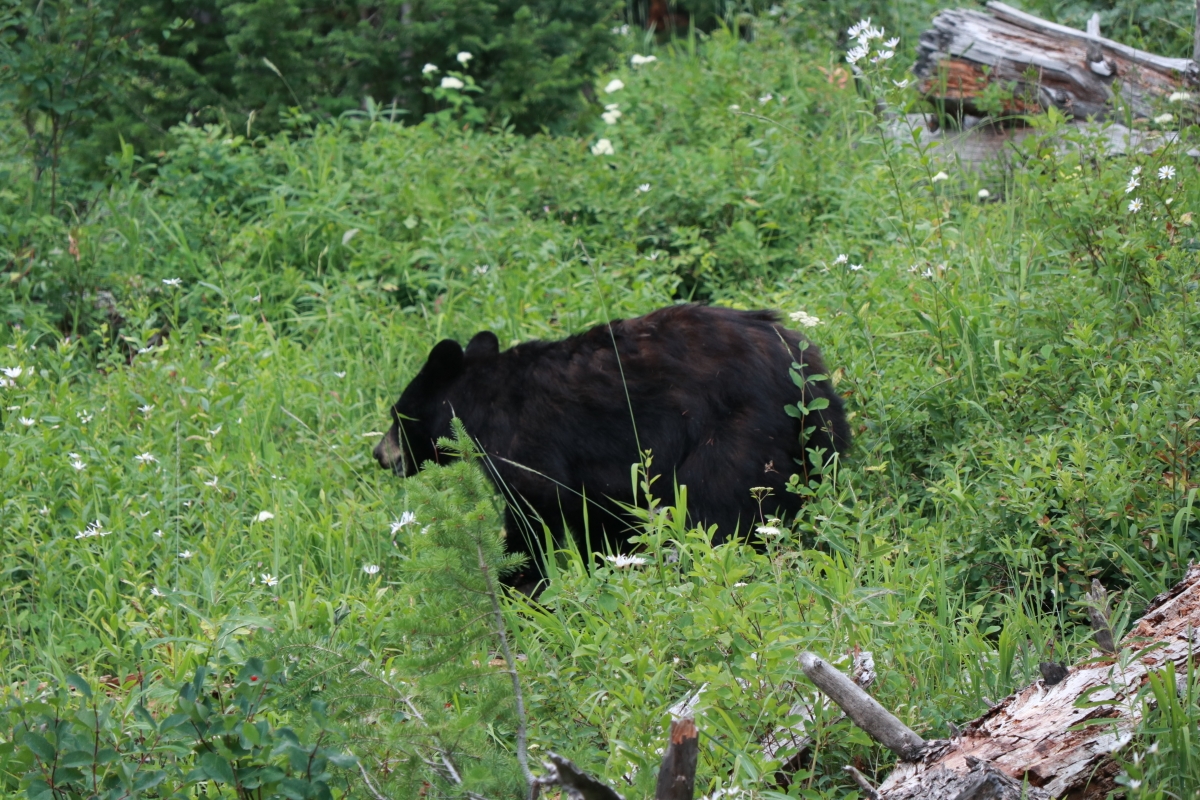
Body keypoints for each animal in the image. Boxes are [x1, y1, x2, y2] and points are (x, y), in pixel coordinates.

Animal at [374, 303, 854, 585]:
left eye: (397, 415)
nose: (380, 455)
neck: (480, 401)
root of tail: (805, 373)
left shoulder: (527, 447)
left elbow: (534, 513)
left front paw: (520, 585)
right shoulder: (602, 479)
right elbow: (605, 521)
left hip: (736, 435)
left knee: (716, 509)